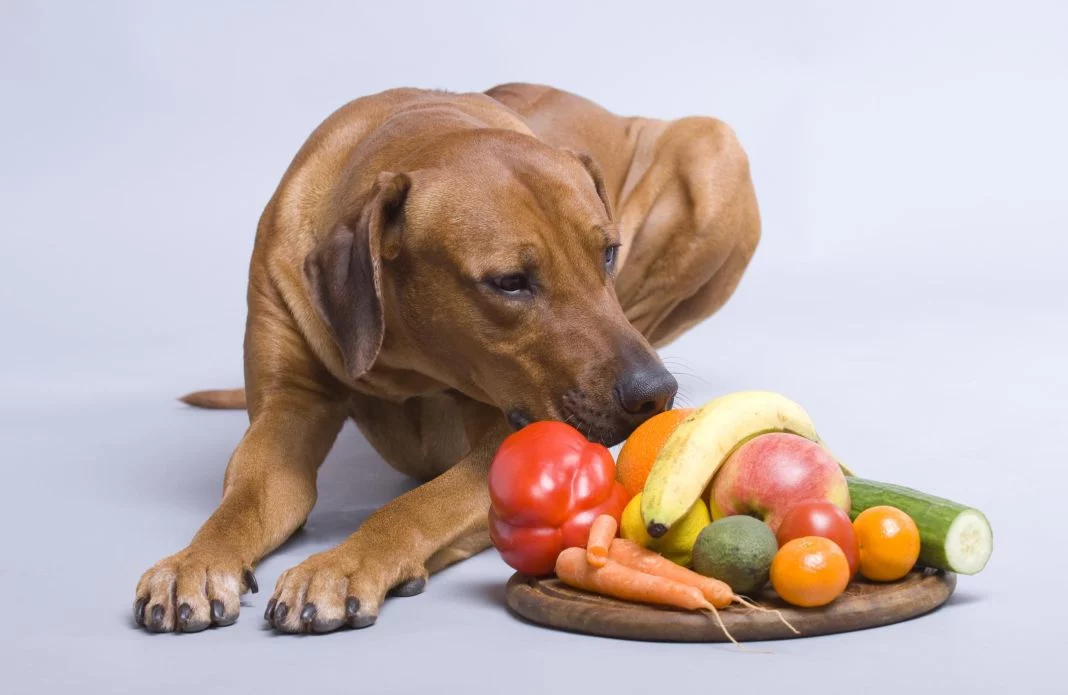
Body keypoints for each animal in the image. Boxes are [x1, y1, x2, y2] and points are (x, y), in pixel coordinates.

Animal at [133, 84, 760, 632]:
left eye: (607, 253)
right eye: (509, 282)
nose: (655, 392)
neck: (407, 358)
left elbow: (419, 506)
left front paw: (342, 564)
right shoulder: (288, 406)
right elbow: (248, 497)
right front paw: (195, 562)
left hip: (712, 147)